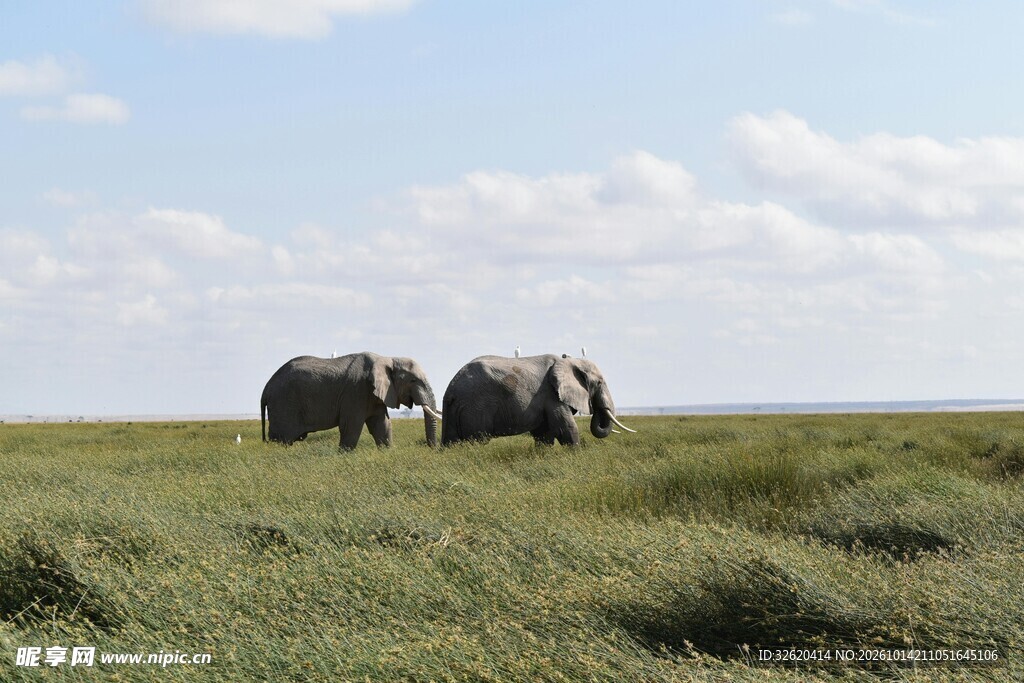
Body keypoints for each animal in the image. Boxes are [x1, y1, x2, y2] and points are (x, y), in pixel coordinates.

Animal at [261, 352, 442, 449]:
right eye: (413, 380)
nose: (432, 448)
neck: (388, 358)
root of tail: (266, 387)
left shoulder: (375, 396)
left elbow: (382, 425)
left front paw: (388, 451)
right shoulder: (356, 391)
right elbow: (351, 426)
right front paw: (343, 454)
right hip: (284, 404)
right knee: (282, 439)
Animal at [441, 354, 635, 446]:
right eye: (600, 382)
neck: (570, 361)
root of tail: (451, 389)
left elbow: (544, 434)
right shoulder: (551, 394)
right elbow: (566, 428)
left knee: (452, 443)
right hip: (476, 408)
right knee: (477, 440)